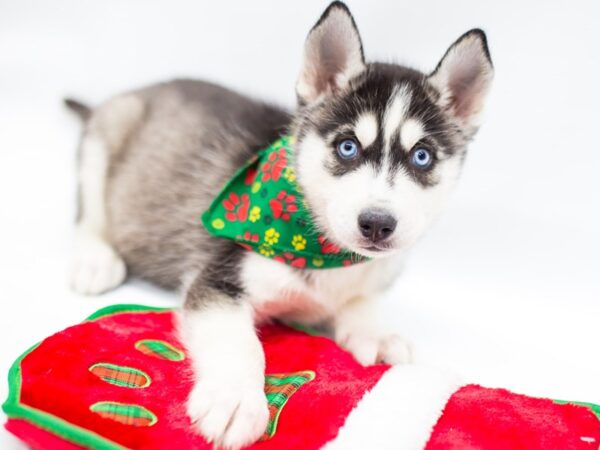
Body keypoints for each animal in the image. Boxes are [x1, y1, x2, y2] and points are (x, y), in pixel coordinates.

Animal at [69, 1, 492, 448]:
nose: (377, 224)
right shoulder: (219, 278)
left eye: (422, 156)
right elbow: (240, 342)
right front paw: (234, 397)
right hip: (109, 134)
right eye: (347, 147)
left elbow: (363, 300)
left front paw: (374, 333)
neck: (328, 253)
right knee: (89, 210)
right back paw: (95, 258)